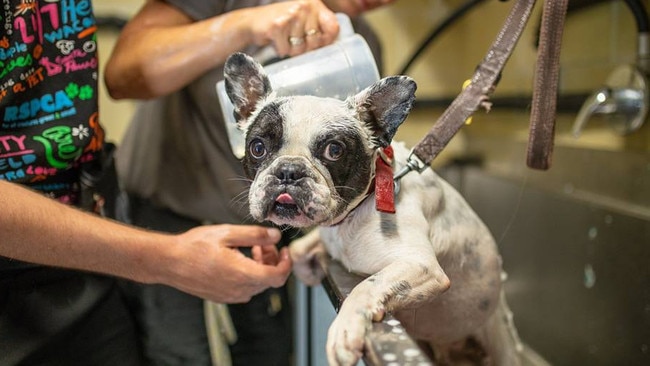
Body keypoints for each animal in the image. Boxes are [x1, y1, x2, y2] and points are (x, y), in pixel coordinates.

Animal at [223, 52, 520, 366]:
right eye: (257, 147)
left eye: (334, 151)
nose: (289, 171)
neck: (352, 216)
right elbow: (298, 250)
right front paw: (305, 268)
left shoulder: (421, 265)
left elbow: (367, 286)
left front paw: (344, 330)